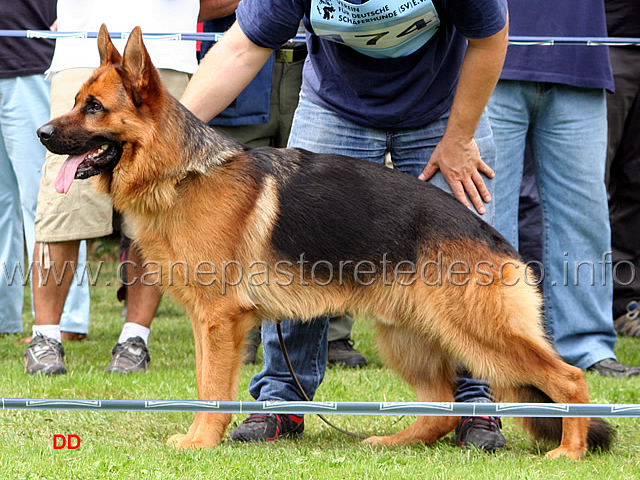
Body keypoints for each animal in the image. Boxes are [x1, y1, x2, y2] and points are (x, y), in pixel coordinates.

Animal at [37, 25, 612, 458]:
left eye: (94, 108)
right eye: (75, 101)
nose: (43, 134)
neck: (181, 173)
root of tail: (497, 240)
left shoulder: (219, 321)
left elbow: (212, 388)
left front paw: (202, 442)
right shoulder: (208, 323)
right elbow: (204, 385)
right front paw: (204, 436)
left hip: (479, 334)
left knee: (568, 380)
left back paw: (570, 451)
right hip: (408, 336)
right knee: (443, 403)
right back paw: (392, 439)